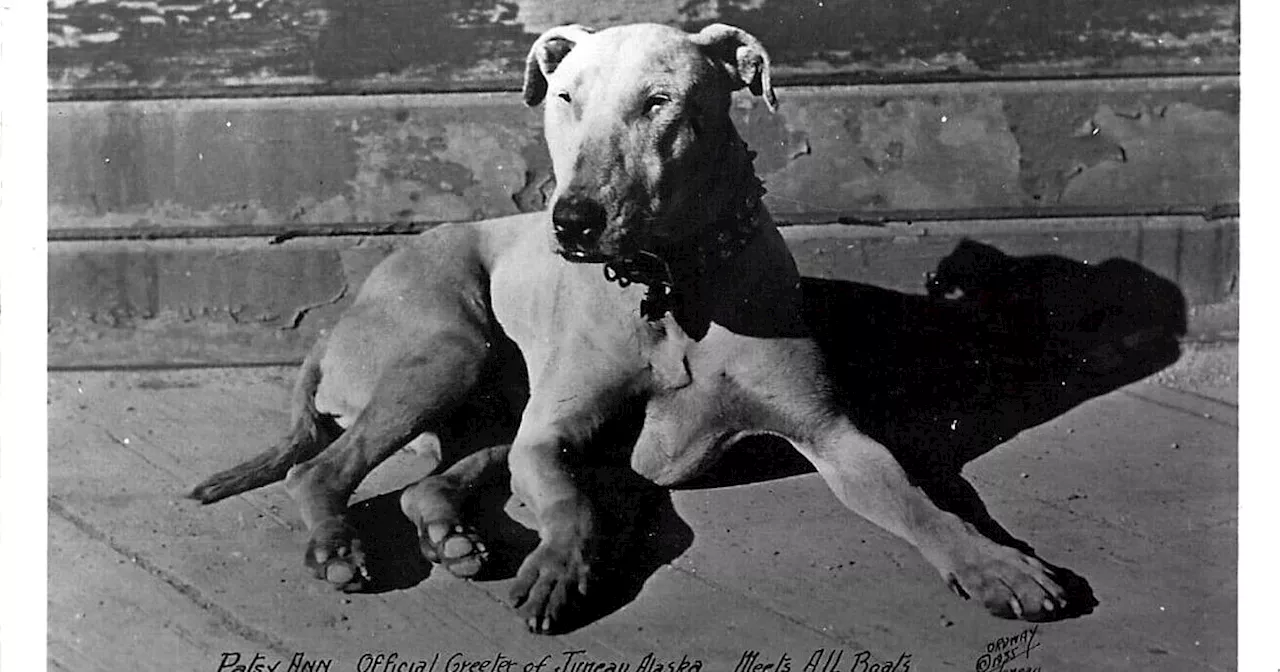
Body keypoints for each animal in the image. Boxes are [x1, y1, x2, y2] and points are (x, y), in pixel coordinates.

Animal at [189, 22, 1070, 634]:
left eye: (660, 103)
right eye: (566, 98)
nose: (572, 221)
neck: (668, 285)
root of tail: (331, 328)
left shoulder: (838, 437)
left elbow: (922, 502)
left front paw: (993, 564)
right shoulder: (550, 439)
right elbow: (574, 506)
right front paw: (559, 565)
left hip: (487, 402)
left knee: (425, 481)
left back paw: (450, 536)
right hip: (448, 352)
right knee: (321, 470)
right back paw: (342, 548)